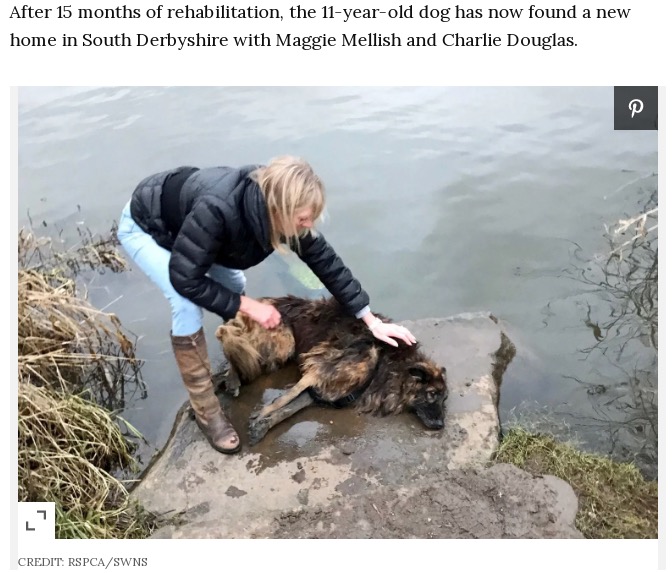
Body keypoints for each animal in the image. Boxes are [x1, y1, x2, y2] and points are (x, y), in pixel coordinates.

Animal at [215, 294, 446, 442]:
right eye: (432, 394)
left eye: (444, 399)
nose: (441, 425)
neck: (387, 362)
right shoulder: (318, 367)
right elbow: (286, 397)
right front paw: (262, 413)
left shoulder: (323, 389)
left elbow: (289, 409)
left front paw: (264, 424)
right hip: (284, 343)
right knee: (231, 340)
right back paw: (232, 377)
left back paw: (227, 379)